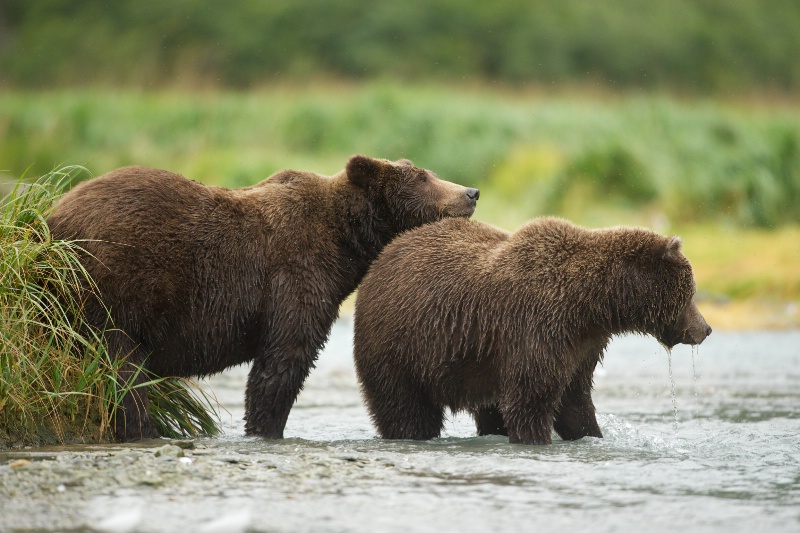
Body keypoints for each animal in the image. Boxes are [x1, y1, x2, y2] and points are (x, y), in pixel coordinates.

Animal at [47, 155, 478, 440]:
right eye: (422, 178)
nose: (471, 192)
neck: (345, 242)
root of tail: (53, 216)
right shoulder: (295, 274)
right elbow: (283, 361)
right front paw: (264, 429)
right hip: (115, 287)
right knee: (123, 372)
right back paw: (143, 429)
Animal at [354, 216, 708, 444]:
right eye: (691, 292)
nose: (705, 329)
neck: (592, 305)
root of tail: (381, 259)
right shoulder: (538, 328)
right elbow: (531, 399)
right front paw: (536, 439)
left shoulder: (581, 346)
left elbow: (574, 401)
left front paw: (591, 434)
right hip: (400, 347)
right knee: (405, 409)